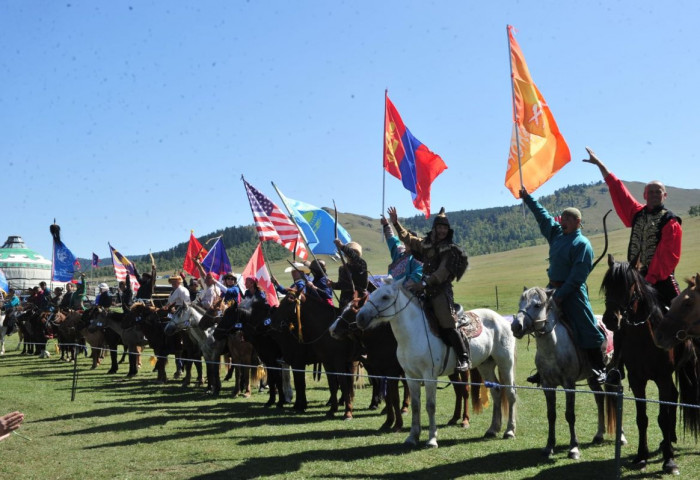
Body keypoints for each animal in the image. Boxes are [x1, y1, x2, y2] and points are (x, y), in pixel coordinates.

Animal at [356, 280, 516, 448]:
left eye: (385, 297)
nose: (360, 317)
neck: (414, 333)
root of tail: (502, 319)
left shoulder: (429, 376)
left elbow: (430, 406)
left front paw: (432, 439)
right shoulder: (410, 377)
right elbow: (415, 405)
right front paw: (412, 437)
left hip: (505, 362)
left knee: (510, 393)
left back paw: (509, 431)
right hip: (486, 365)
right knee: (497, 391)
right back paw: (492, 429)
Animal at [512, 286, 620, 460]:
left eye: (537, 305)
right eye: (520, 303)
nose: (516, 326)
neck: (552, 348)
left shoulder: (569, 384)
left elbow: (570, 415)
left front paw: (574, 448)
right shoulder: (547, 386)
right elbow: (551, 415)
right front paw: (549, 446)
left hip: (614, 373)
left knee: (616, 399)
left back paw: (621, 437)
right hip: (592, 378)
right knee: (600, 398)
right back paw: (599, 435)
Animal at [600, 256, 700, 474]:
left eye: (629, 285)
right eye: (607, 286)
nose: (610, 319)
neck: (643, 338)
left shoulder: (662, 378)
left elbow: (662, 417)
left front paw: (669, 461)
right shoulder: (637, 380)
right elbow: (642, 418)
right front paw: (641, 456)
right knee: (674, 396)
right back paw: (668, 440)